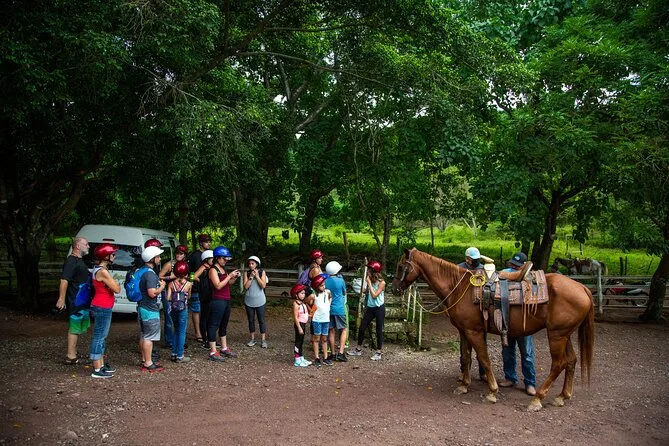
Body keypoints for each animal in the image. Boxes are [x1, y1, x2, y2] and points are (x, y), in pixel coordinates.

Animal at [393, 248, 595, 411]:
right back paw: (562, 396)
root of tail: (582, 287)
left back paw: (537, 399)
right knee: (571, 361)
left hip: (556, 335)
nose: (394, 289)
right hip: (565, 334)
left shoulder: (474, 331)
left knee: (558, 364)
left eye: (401, 267)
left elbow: (484, 358)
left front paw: (492, 392)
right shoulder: (464, 331)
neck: (460, 288)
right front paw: (464, 385)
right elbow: (466, 357)